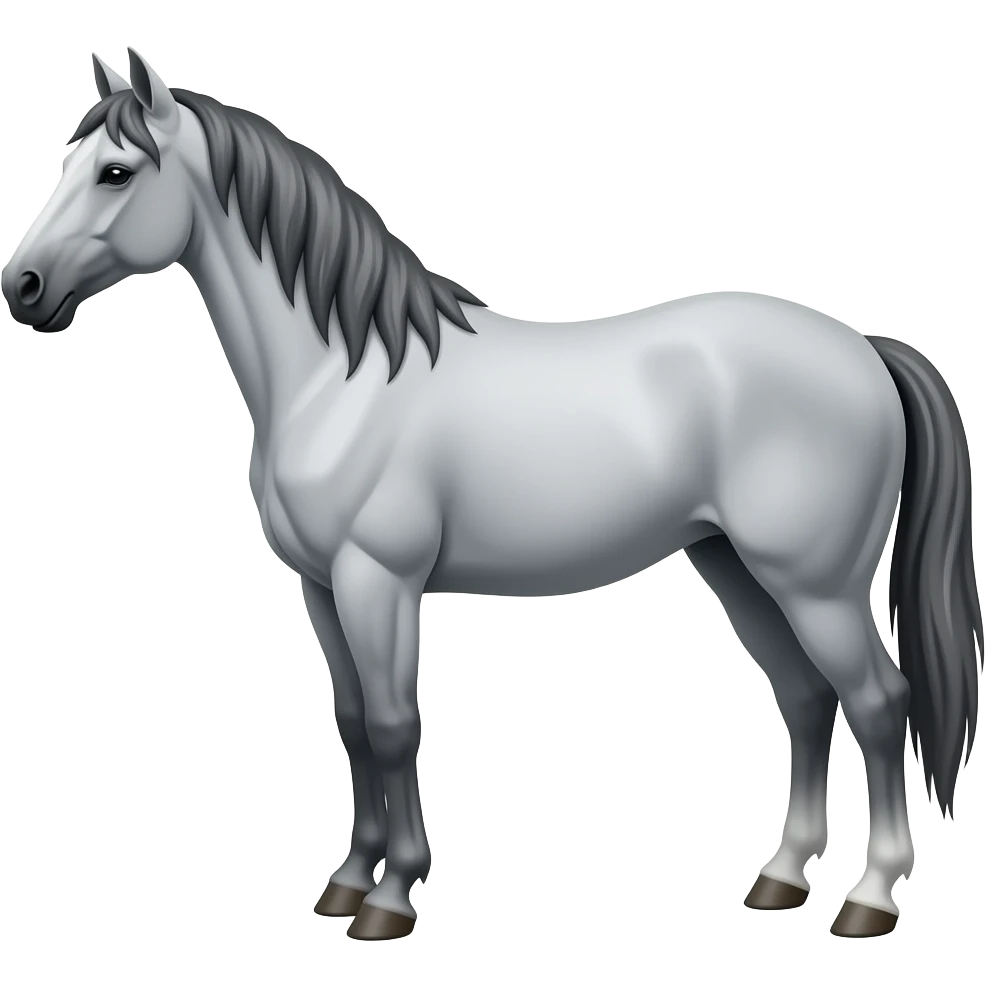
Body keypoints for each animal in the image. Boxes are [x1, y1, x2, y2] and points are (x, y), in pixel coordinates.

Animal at [2, 48, 981, 942]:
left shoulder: (378, 581)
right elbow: (352, 724)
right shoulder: (320, 587)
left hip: (818, 586)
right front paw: (346, 883)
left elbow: (394, 724)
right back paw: (779, 880)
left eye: (117, 172)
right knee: (808, 701)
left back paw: (868, 899)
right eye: (69, 163)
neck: (340, 377)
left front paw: (392, 899)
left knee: (879, 703)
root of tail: (862, 349)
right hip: (736, 568)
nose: (23, 287)